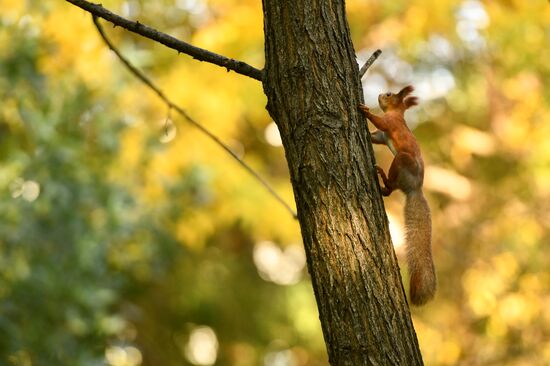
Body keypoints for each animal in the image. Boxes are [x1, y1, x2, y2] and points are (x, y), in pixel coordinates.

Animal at [360, 86, 438, 306]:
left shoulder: (390, 123)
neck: (397, 113)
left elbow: (380, 122)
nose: (379, 94)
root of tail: (414, 188)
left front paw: (365, 110)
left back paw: (383, 177)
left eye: (388, 95)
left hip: (402, 161)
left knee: (392, 185)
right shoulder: (381, 136)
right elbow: (375, 136)